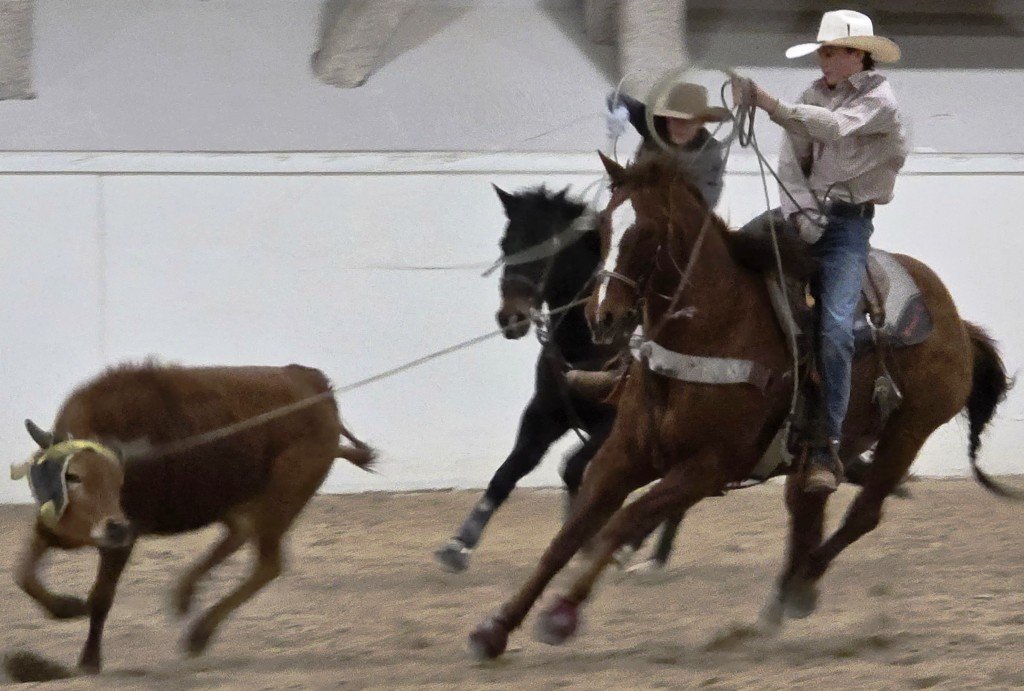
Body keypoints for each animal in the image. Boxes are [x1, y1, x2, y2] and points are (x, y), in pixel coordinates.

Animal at [9, 362, 374, 674]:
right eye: (73, 476)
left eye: (120, 480)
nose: (113, 528)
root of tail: (317, 386)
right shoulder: (51, 527)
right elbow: (23, 574)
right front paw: (66, 608)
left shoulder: (124, 539)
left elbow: (100, 598)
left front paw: (89, 660)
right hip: (234, 501)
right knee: (240, 534)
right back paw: (185, 596)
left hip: (283, 499)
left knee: (267, 563)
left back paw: (200, 632)